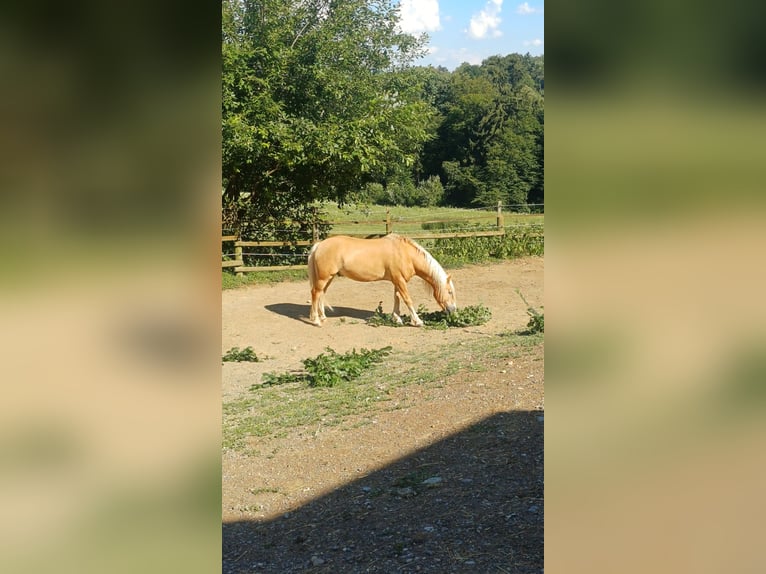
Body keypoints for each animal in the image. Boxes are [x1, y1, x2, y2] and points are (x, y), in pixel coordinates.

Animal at [307, 234, 457, 327]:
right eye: (449, 292)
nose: (453, 310)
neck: (406, 254)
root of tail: (319, 245)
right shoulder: (400, 280)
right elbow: (407, 299)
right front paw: (417, 321)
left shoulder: (397, 281)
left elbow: (397, 298)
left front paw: (396, 318)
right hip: (324, 277)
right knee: (315, 293)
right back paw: (316, 321)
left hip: (329, 278)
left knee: (321, 294)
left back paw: (323, 317)